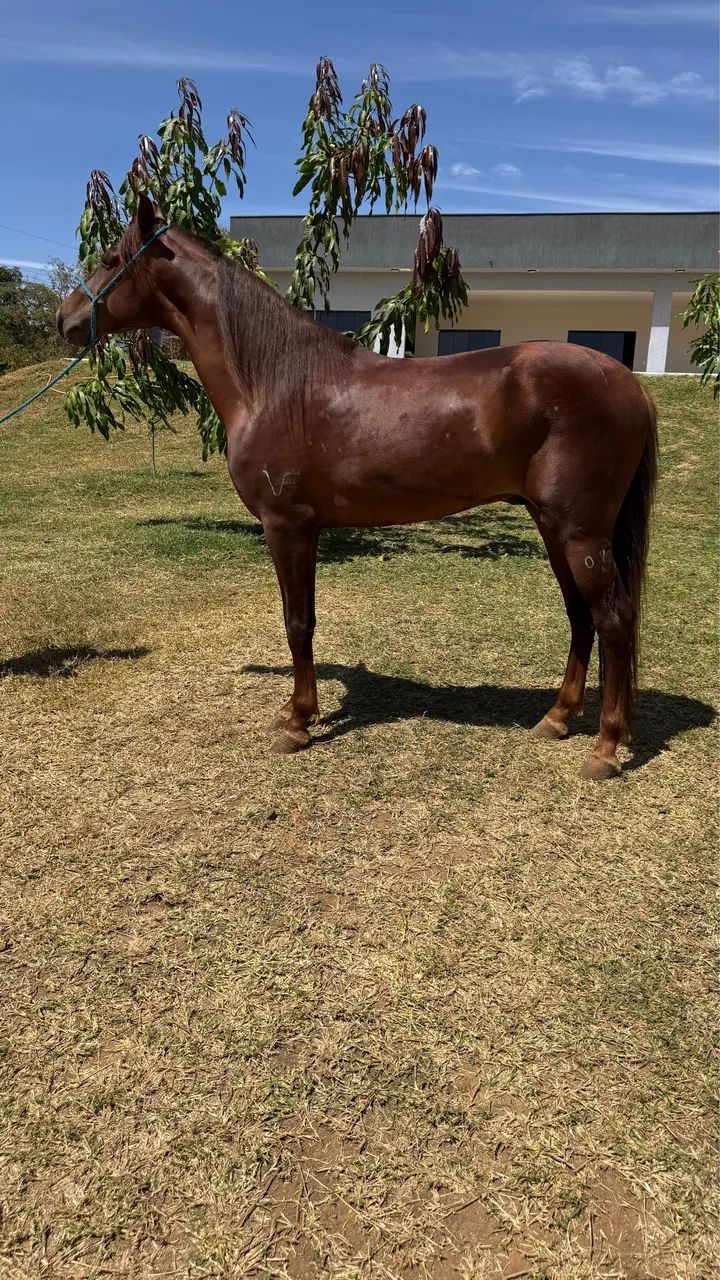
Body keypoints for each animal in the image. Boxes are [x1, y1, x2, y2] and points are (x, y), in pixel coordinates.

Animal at [57, 194, 658, 780]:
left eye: (110, 259)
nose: (66, 318)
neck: (274, 383)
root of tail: (626, 382)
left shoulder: (288, 526)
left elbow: (298, 623)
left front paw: (298, 723)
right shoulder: (305, 529)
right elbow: (300, 618)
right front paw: (295, 710)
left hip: (580, 533)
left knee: (614, 619)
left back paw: (605, 748)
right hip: (553, 525)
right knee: (581, 616)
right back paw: (556, 719)